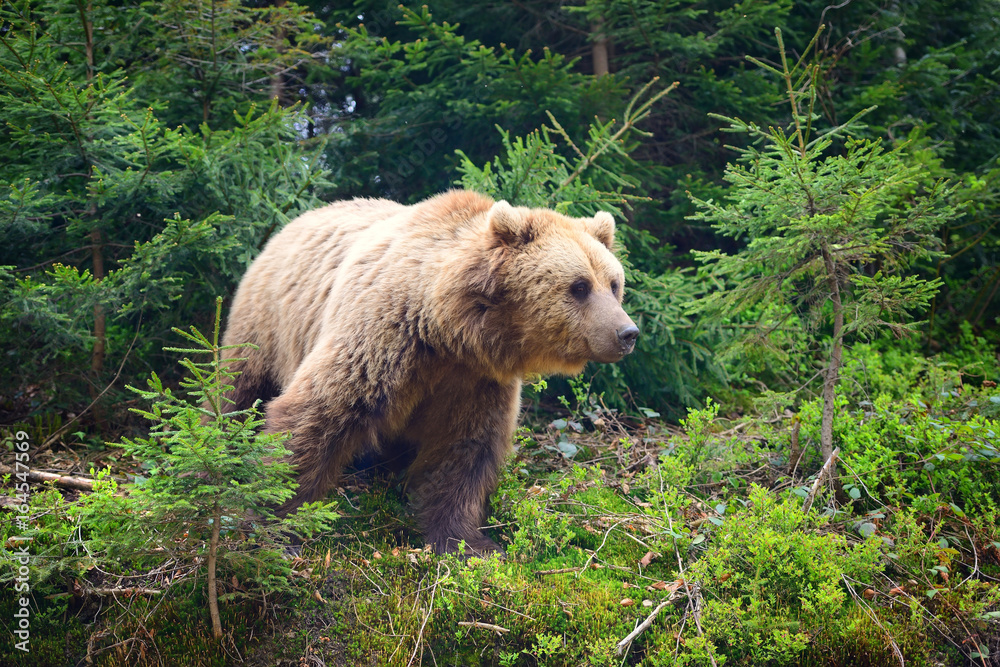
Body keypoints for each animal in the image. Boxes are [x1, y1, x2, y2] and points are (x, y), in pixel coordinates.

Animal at [222, 190, 638, 554]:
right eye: (579, 286)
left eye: (614, 284)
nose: (627, 333)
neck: (446, 327)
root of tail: (294, 221)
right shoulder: (384, 335)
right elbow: (318, 413)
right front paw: (275, 521)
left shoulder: (475, 380)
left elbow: (465, 448)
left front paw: (469, 543)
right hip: (265, 323)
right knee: (239, 388)